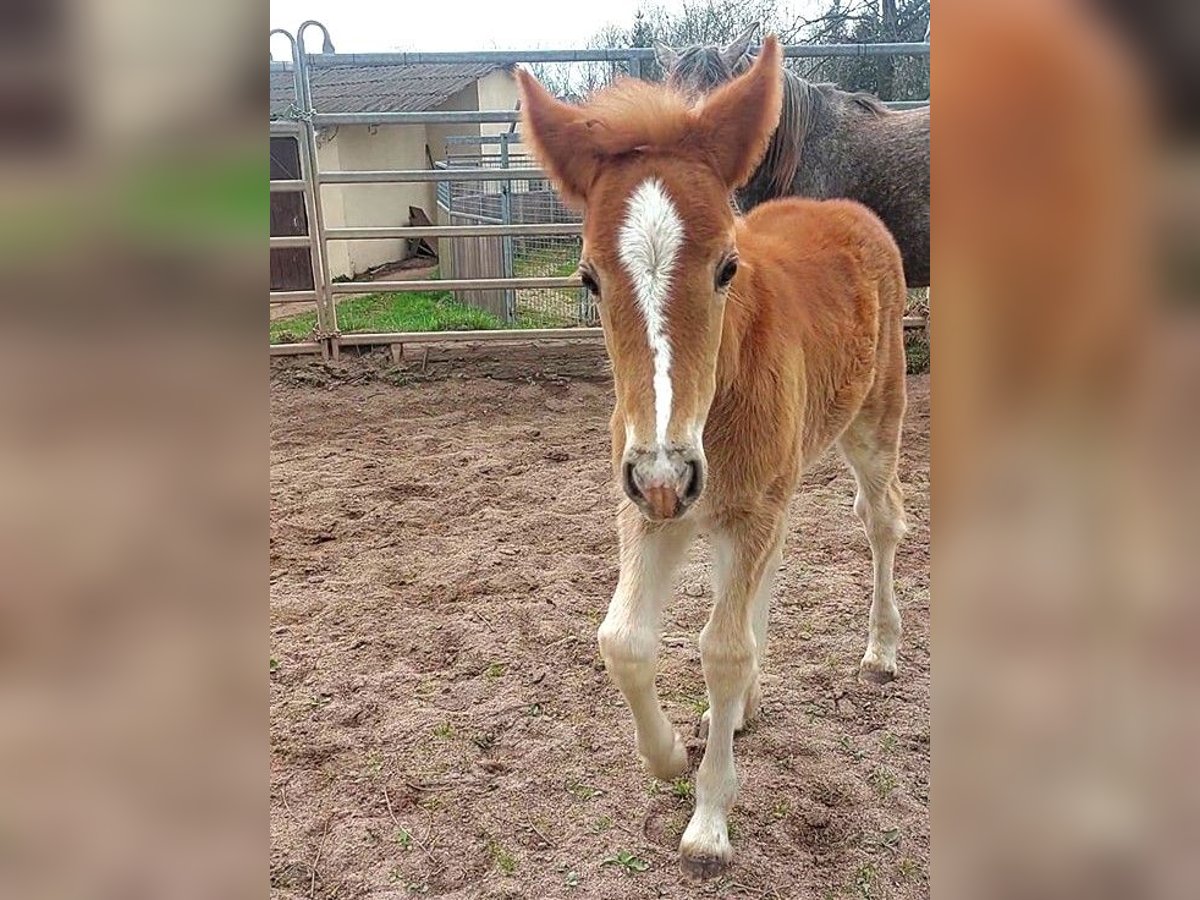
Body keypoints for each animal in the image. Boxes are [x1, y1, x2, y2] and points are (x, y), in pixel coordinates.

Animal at [518, 37, 907, 883]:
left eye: (727, 266)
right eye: (588, 276)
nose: (670, 476)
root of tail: (847, 209)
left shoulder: (721, 499)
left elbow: (722, 649)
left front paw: (708, 823)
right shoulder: (650, 503)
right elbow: (622, 640)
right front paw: (666, 755)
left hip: (873, 420)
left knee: (883, 521)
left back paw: (881, 651)